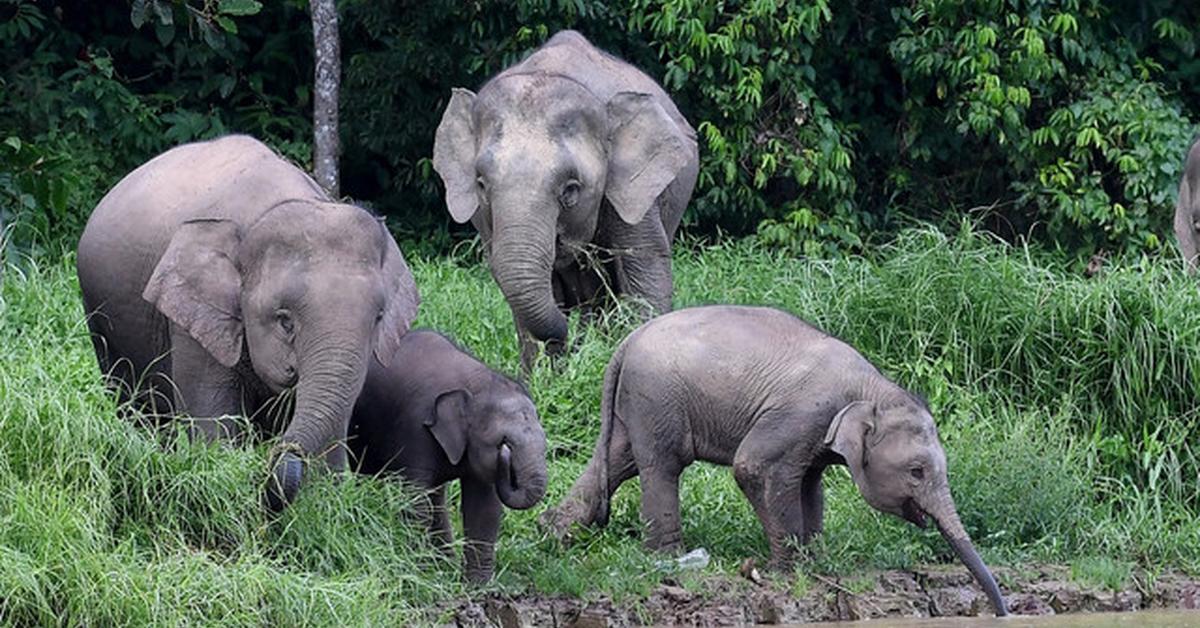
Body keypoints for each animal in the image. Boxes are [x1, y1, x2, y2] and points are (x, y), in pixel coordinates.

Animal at [348, 331, 549, 583]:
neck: (475, 384)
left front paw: (476, 585)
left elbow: (484, 508)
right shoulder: (415, 428)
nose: (505, 457)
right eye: (505, 443)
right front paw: (422, 573)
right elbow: (416, 502)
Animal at [432, 30, 700, 369]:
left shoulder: (633, 192)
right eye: (481, 184)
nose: (566, 335)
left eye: (571, 190)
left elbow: (645, 264)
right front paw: (545, 373)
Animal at [547, 307, 1012, 614]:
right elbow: (753, 466)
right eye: (917, 472)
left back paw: (554, 534)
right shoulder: (803, 413)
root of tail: (627, 340)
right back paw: (668, 556)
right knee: (662, 464)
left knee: (618, 460)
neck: (873, 388)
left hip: (639, 404)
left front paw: (815, 560)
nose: (1002, 612)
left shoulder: (816, 434)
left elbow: (810, 484)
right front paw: (787, 570)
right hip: (657, 398)